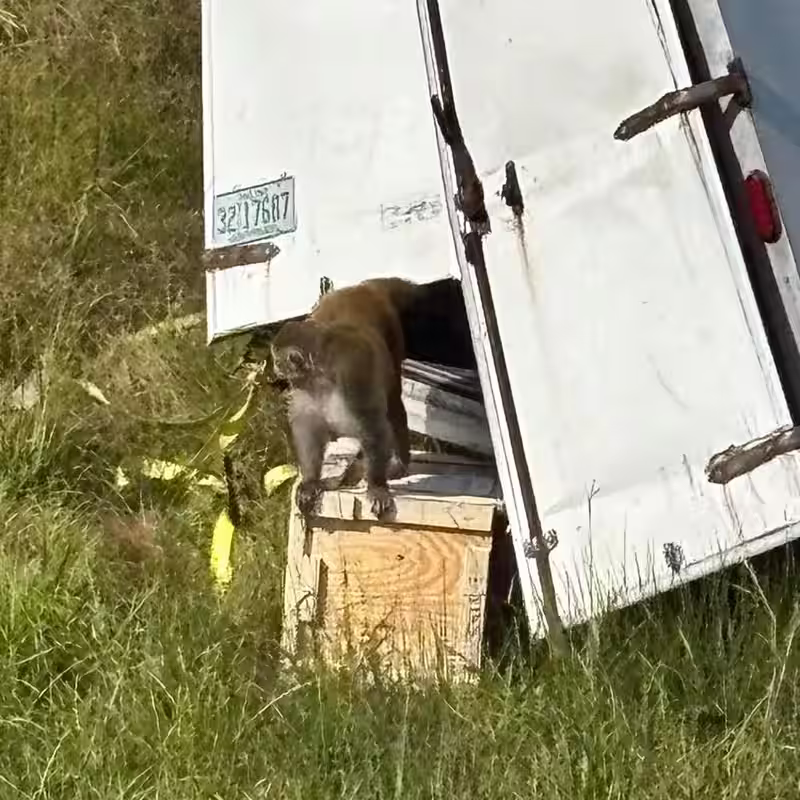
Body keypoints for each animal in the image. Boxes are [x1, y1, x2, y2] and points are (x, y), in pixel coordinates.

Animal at [271, 278, 414, 520]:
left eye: (276, 359)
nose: (274, 367)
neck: (320, 376)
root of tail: (362, 287)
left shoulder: (352, 376)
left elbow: (373, 427)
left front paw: (377, 486)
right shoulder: (303, 388)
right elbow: (308, 429)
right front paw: (310, 482)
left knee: (393, 401)